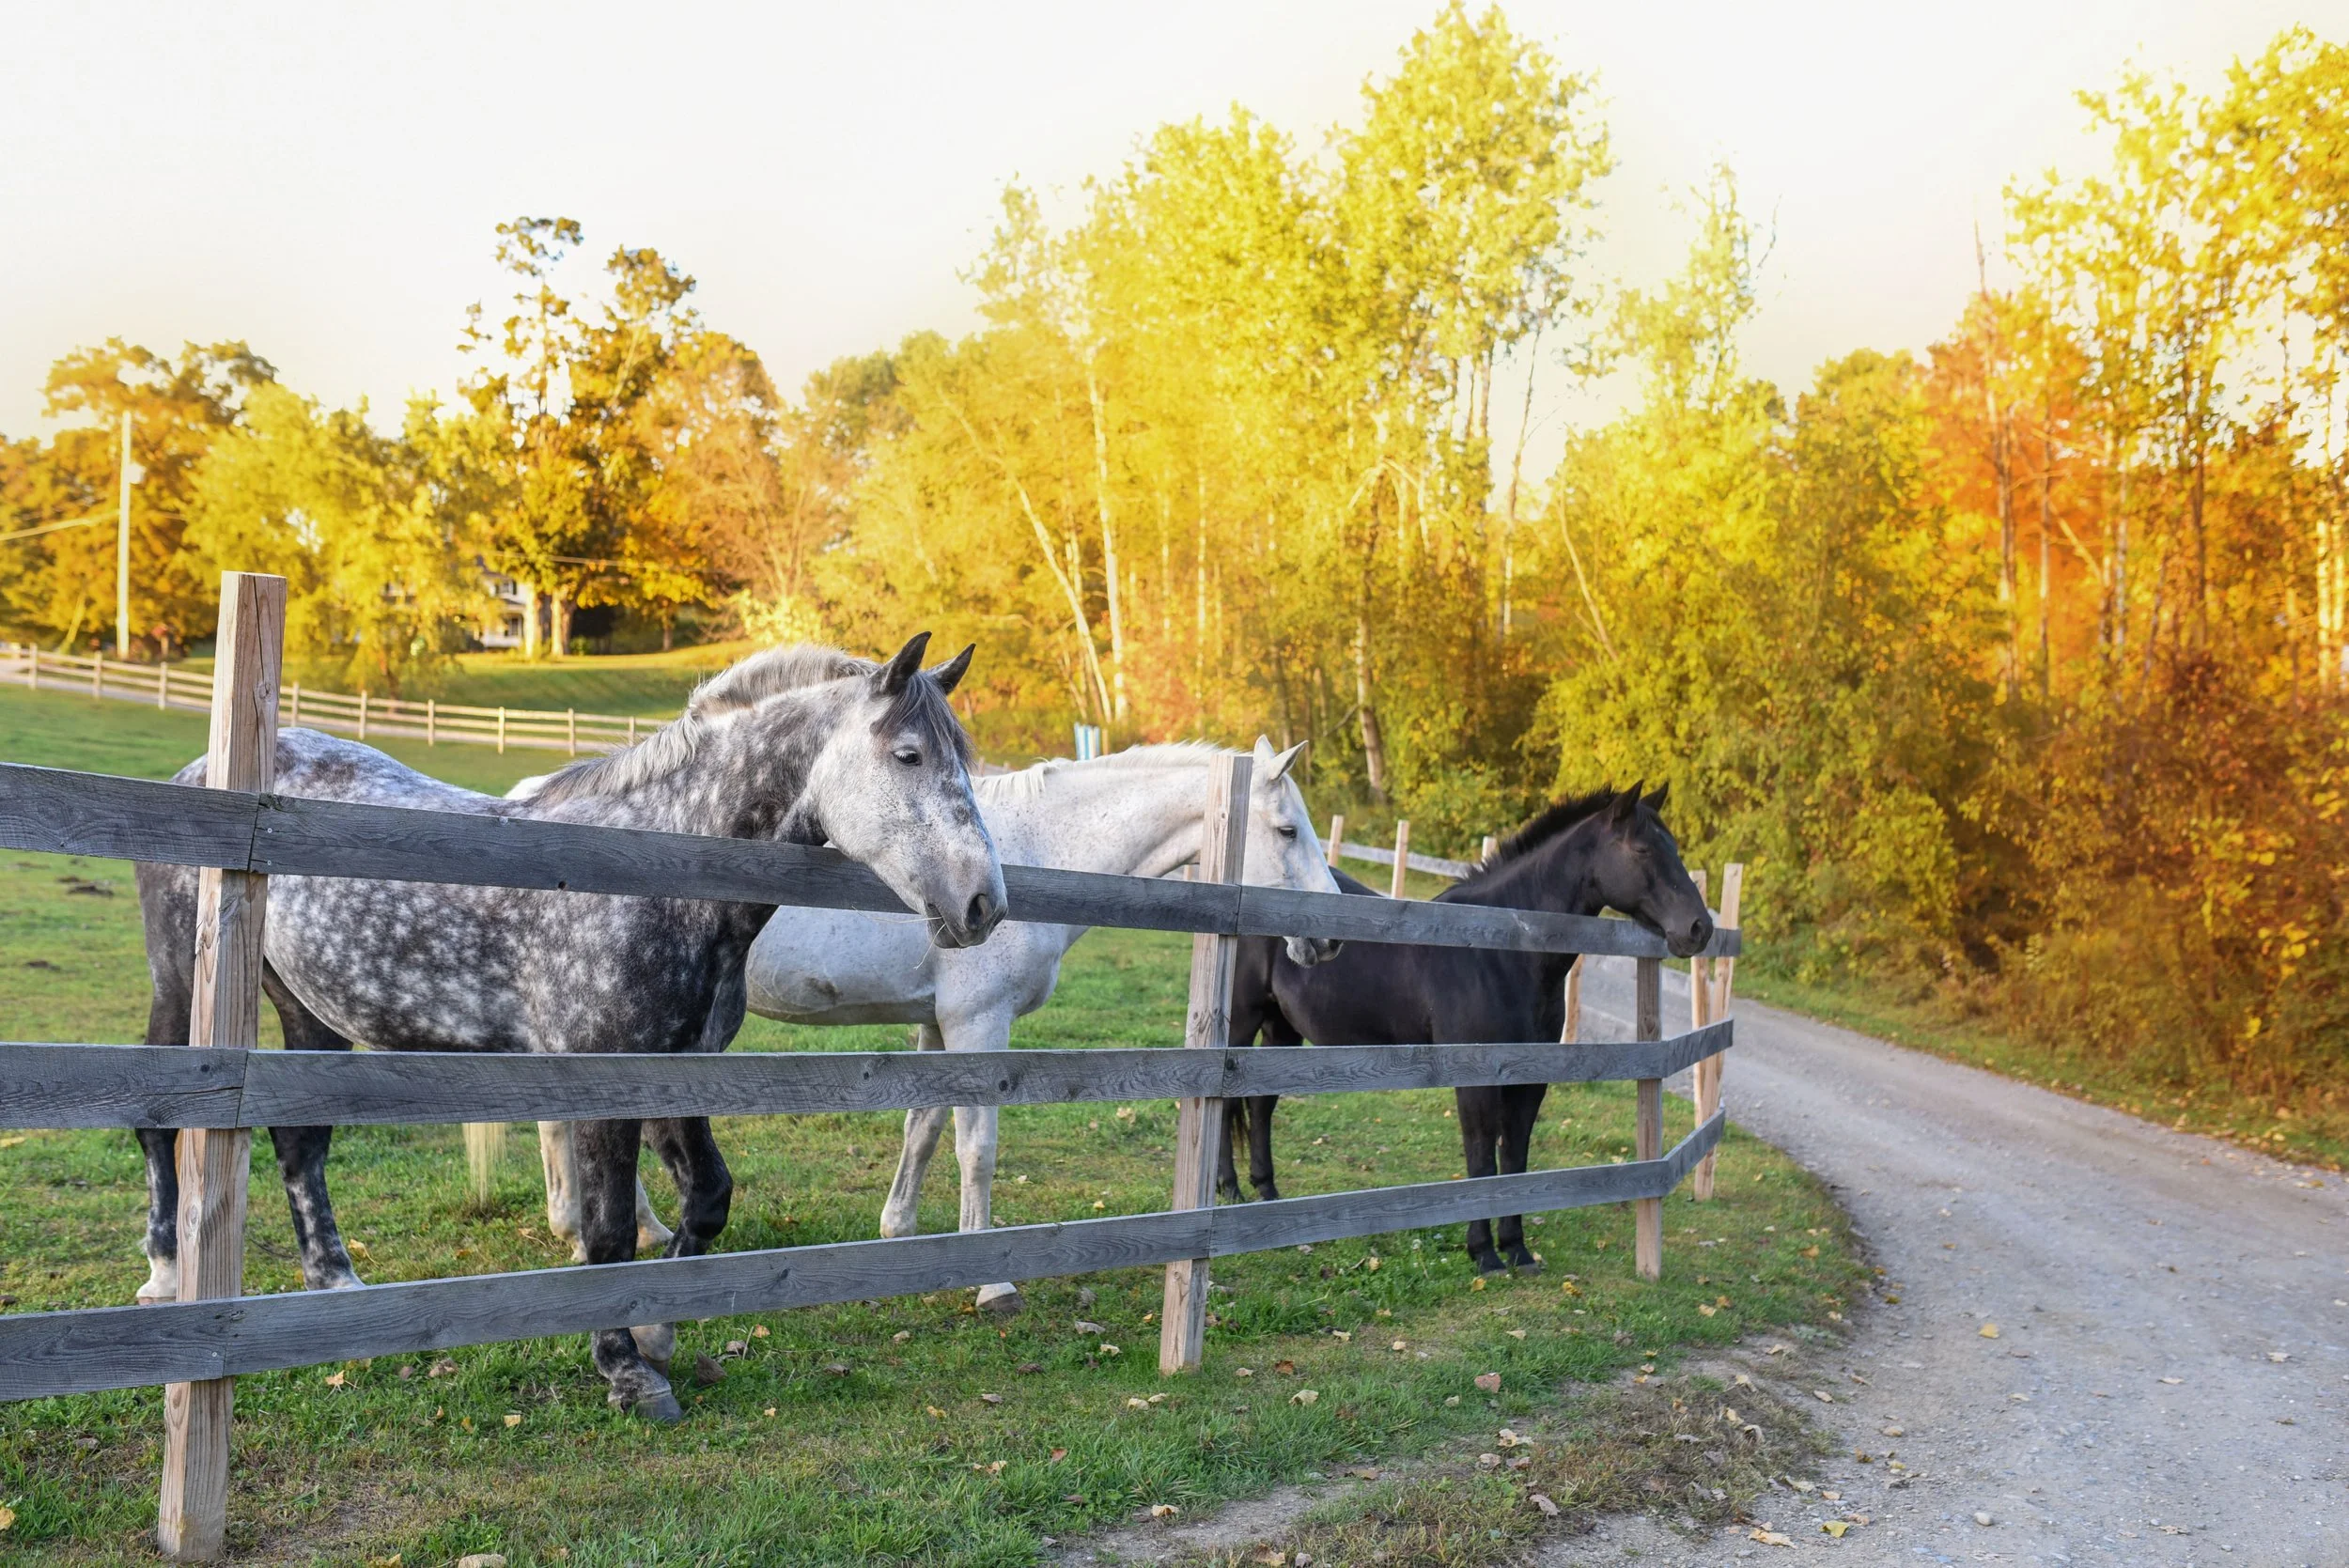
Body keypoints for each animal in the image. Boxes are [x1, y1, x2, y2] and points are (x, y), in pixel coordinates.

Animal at [132, 635, 1005, 1421]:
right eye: (908, 755)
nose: (984, 904)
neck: (654, 880)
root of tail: (197, 775)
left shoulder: (679, 1072)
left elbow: (708, 1197)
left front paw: (657, 1331)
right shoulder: (607, 1078)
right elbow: (610, 1229)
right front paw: (626, 1369)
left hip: (307, 1012)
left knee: (299, 1144)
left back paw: (335, 1283)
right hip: (182, 988)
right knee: (159, 1121)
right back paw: (168, 1271)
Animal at [535, 736, 1346, 1314]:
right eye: (1286, 828)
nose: (1329, 938)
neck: (1038, 850)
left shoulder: (936, 1024)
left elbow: (921, 1129)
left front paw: (901, 1231)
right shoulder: (979, 1024)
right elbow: (975, 1147)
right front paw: (993, 1284)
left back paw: (610, 1227)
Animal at [1218, 784, 1713, 1273]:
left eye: (1674, 848)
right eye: (1643, 849)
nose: (1699, 928)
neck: (1499, 950)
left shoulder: (1530, 1078)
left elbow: (1514, 1157)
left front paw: (1517, 1250)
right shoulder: (1475, 1078)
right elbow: (1480, 1160)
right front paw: (1485, 1254)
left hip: (1282, 1028)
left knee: (1260, 1105)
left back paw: (1266, 1193)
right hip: (1242, 1023)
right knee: (1226, 1105)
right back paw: (1230, 1189)